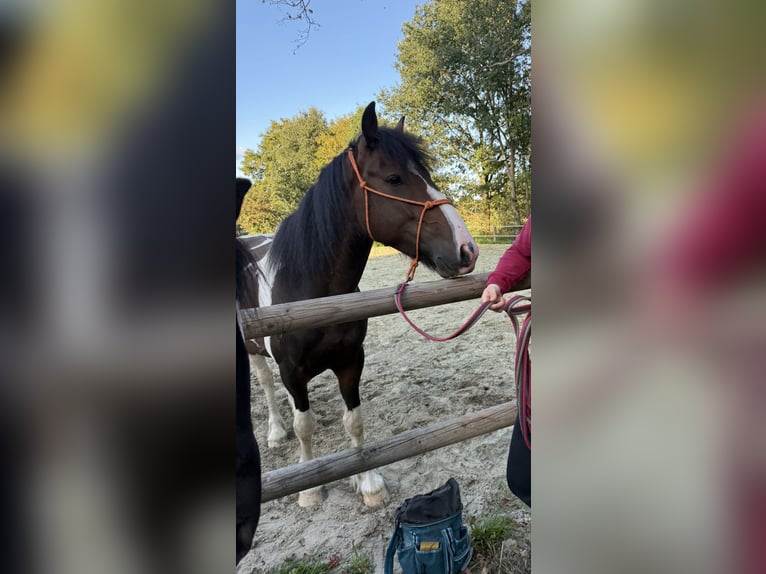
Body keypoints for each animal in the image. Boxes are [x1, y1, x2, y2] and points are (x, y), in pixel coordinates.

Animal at [242, 101, 479, 507]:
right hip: (253, 348)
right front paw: (309, 489)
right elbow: (303, 427)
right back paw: (275, 431)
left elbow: (354, 421)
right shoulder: (291, 370)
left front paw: (367, 483)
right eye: (394, 179)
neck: (315, 297)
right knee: (270, 388)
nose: (467, 250)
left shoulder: (352, 361)